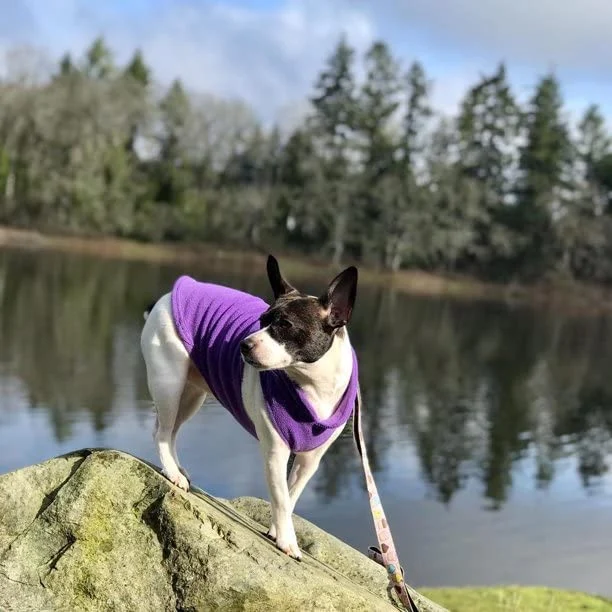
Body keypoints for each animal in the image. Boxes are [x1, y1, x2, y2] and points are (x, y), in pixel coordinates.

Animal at [140, 256, 358, 560]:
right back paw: (172, 473)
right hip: (169, 382)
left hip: (190, 395)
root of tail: (166, 297)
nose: (244, 344)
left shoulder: (309, 462)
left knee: (170, 431)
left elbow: (290, 497)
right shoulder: (275, 453)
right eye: (261, 321)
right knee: (161, 432)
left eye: (285, 325)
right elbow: (280, 497)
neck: (312, 385)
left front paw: (278, 530)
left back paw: (177, 468)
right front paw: (288, 542)